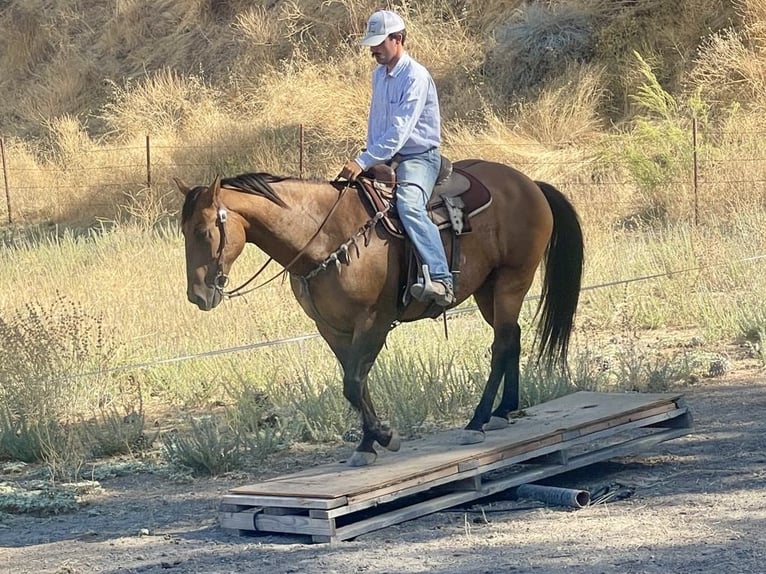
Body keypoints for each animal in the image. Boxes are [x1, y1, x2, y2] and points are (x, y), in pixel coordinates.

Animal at [175, 159, 584, 467]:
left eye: (204, 231)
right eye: (182, 231)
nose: (197, 295)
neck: (326, 236)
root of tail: (528, 183)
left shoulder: (374, 321)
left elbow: (353, 382)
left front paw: (384, 436)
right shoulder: (331, 328)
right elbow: (355, 384)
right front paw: (369, 443)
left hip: (513, 280)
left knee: (500, 346)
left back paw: (478, 420)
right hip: (488, 289)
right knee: (511, 337)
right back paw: (503, 411)